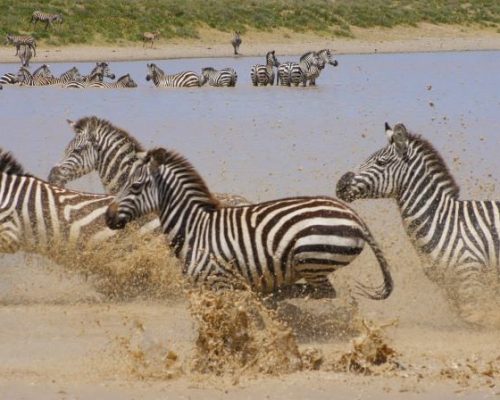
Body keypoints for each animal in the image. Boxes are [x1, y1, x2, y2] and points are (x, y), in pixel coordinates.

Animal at [105, 147, 394, 300]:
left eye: (135, 186)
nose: (108, 217)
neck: (194, 228)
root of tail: (354, 215)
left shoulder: (219, 283)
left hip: (311, 261)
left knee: (325, 294)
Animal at [336, 122, 500, 324]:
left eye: (380, 163)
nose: (339, 185)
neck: (443, 220)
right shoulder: (448, 285)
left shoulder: (470, 277)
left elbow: (475, 319)